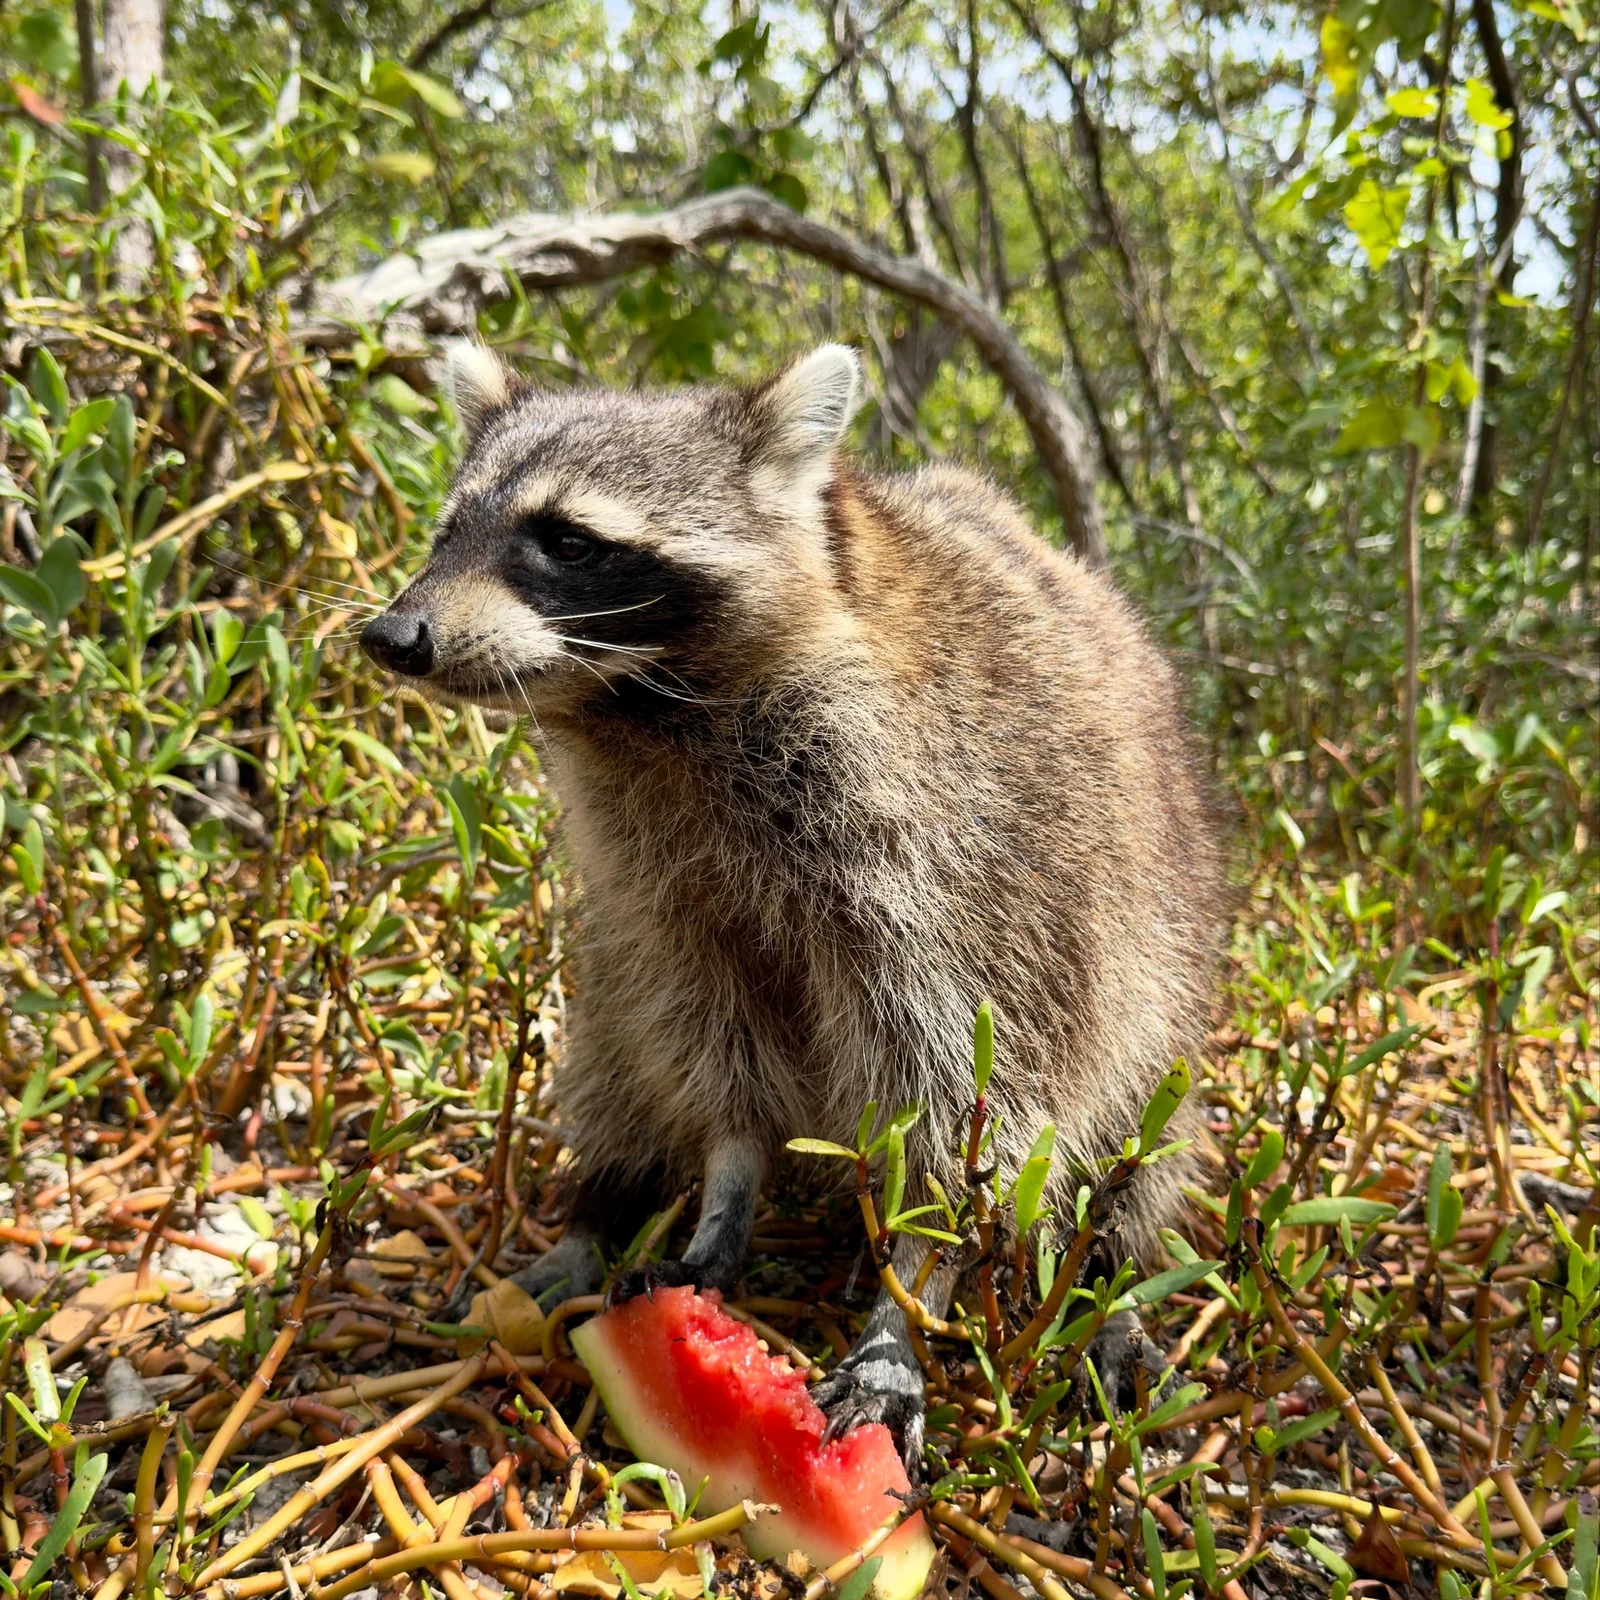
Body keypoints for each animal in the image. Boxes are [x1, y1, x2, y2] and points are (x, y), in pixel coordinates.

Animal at [360, 342, 1225, 1463]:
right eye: (446, 533)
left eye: (566, 541)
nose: (393, 634)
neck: (651, 708)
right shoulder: (663, 882)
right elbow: (712, 1036)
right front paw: (725, 1182)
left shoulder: (953, 865)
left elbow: (962, 1100)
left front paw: (911, 1291)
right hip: (621, 959)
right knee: (616, 1044)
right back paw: (600, 1211)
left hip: (1150, 958)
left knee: (1131, 1129)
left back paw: (1106, 1281)